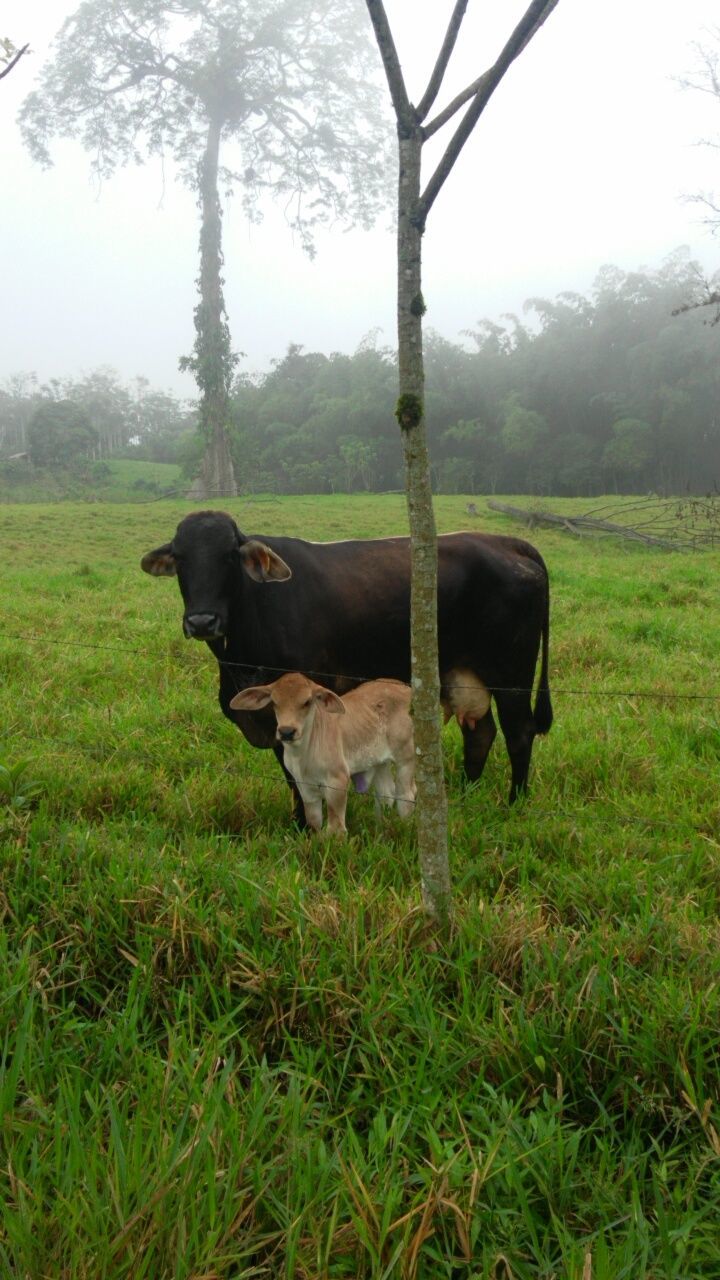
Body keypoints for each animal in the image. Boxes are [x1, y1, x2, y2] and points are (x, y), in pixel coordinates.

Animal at [229, 675, 415, 834]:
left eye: (307, 702)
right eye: (274, 702)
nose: (287, 731)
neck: (303, 755)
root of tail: (406, 689)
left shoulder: (337, 781)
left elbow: (336, 828)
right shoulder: (304, 786)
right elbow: (314, 822)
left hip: (406, 758)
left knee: (406, 795)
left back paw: (404, 829)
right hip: (378, 761)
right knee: (386, 793)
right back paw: (380, 830)